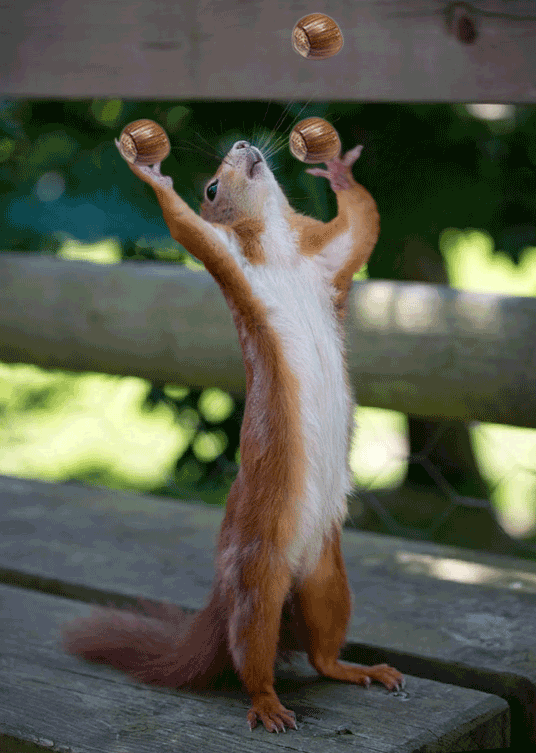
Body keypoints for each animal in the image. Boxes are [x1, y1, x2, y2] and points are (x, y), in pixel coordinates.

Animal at [63, 135, 404, 733]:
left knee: (321, 652)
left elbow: (363, 224)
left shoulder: (329, 257)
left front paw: (339, 171)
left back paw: (357, 669)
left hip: (328, 577)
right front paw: (150, 174)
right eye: (211, 187)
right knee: (252, 653)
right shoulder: (228, 258)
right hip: (257, 580)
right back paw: (267, 704)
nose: (244, 144)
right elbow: (186, 228)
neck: (280, 248)